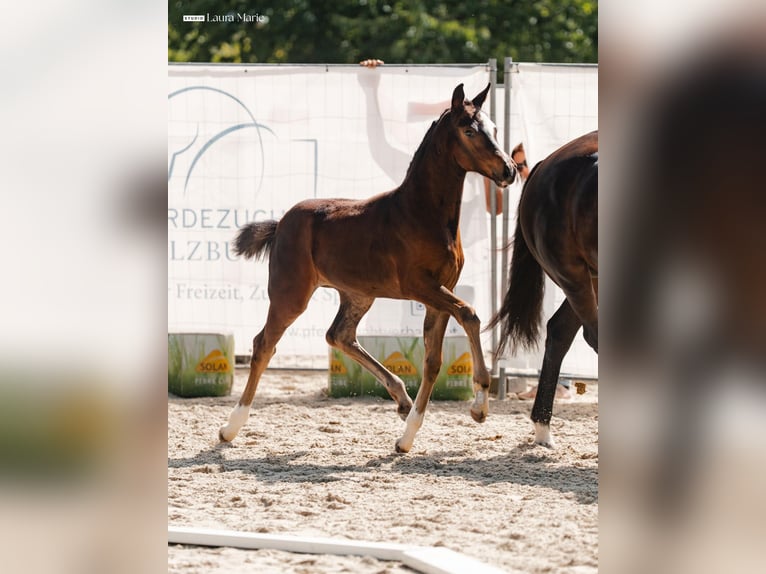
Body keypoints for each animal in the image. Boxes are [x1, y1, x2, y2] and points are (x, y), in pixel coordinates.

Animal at [219, 83, 516, 453]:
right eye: (470, 131)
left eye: (495, 129)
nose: (509, 170)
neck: (423, 213)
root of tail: (282, 223)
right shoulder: (420, 286)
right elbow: (470, 314)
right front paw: (479, 405)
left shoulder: (439, 292)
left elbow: (433, 360)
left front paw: (407, 436)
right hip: (291, 294)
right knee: (264, 344)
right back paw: (231, 426)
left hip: (358, 294)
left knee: (339, 335)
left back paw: (402, 399)